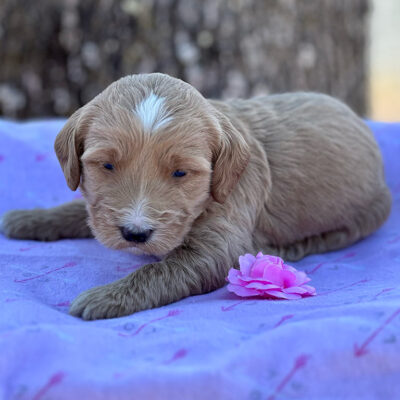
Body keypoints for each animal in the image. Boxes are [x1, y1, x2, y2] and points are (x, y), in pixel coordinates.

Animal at [2, 73, 390, 320]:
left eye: (181, 173)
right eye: (107, 165)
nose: (135, 234)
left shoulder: (222, 239)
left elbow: (161, 270)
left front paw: (106, 297)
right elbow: (78, 210)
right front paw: (29, 218)